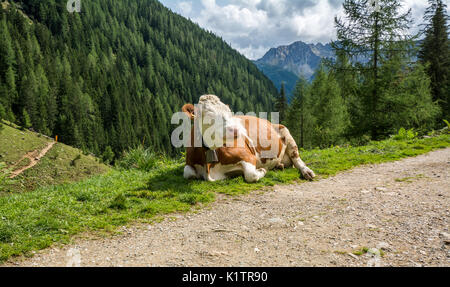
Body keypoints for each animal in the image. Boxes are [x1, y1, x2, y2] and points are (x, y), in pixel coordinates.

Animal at [181, 95, 314, 183]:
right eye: (209, 115)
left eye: (229, 113)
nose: (235, 131)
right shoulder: (189, 162)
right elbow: (188, 173)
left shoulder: (248, 156)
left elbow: (251, 175)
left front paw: (262, 171)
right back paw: (279, 166)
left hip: (286, 132)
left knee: (297, 159)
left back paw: (307, 172)